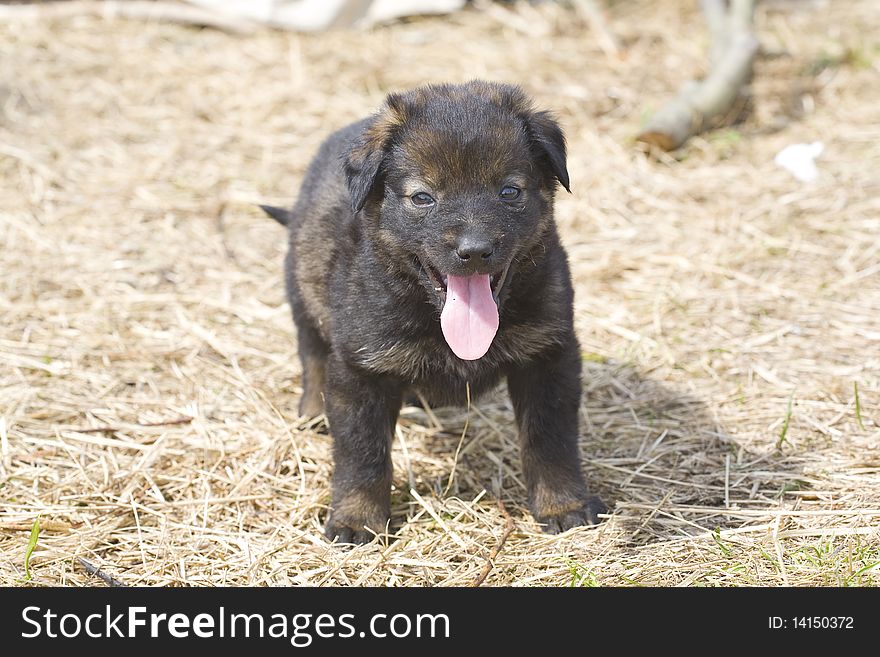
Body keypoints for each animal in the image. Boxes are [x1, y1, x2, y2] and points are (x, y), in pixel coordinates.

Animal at [262, 80, 604, 544]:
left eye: (509, 192)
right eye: (423, 198)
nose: (475, 250)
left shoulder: (549, 354)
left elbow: (550, 440)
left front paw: (564, 505)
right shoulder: (360, 369)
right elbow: (362, 453)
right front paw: (356, 519)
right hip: (303, 292)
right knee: (312, 355)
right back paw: (313, 412)